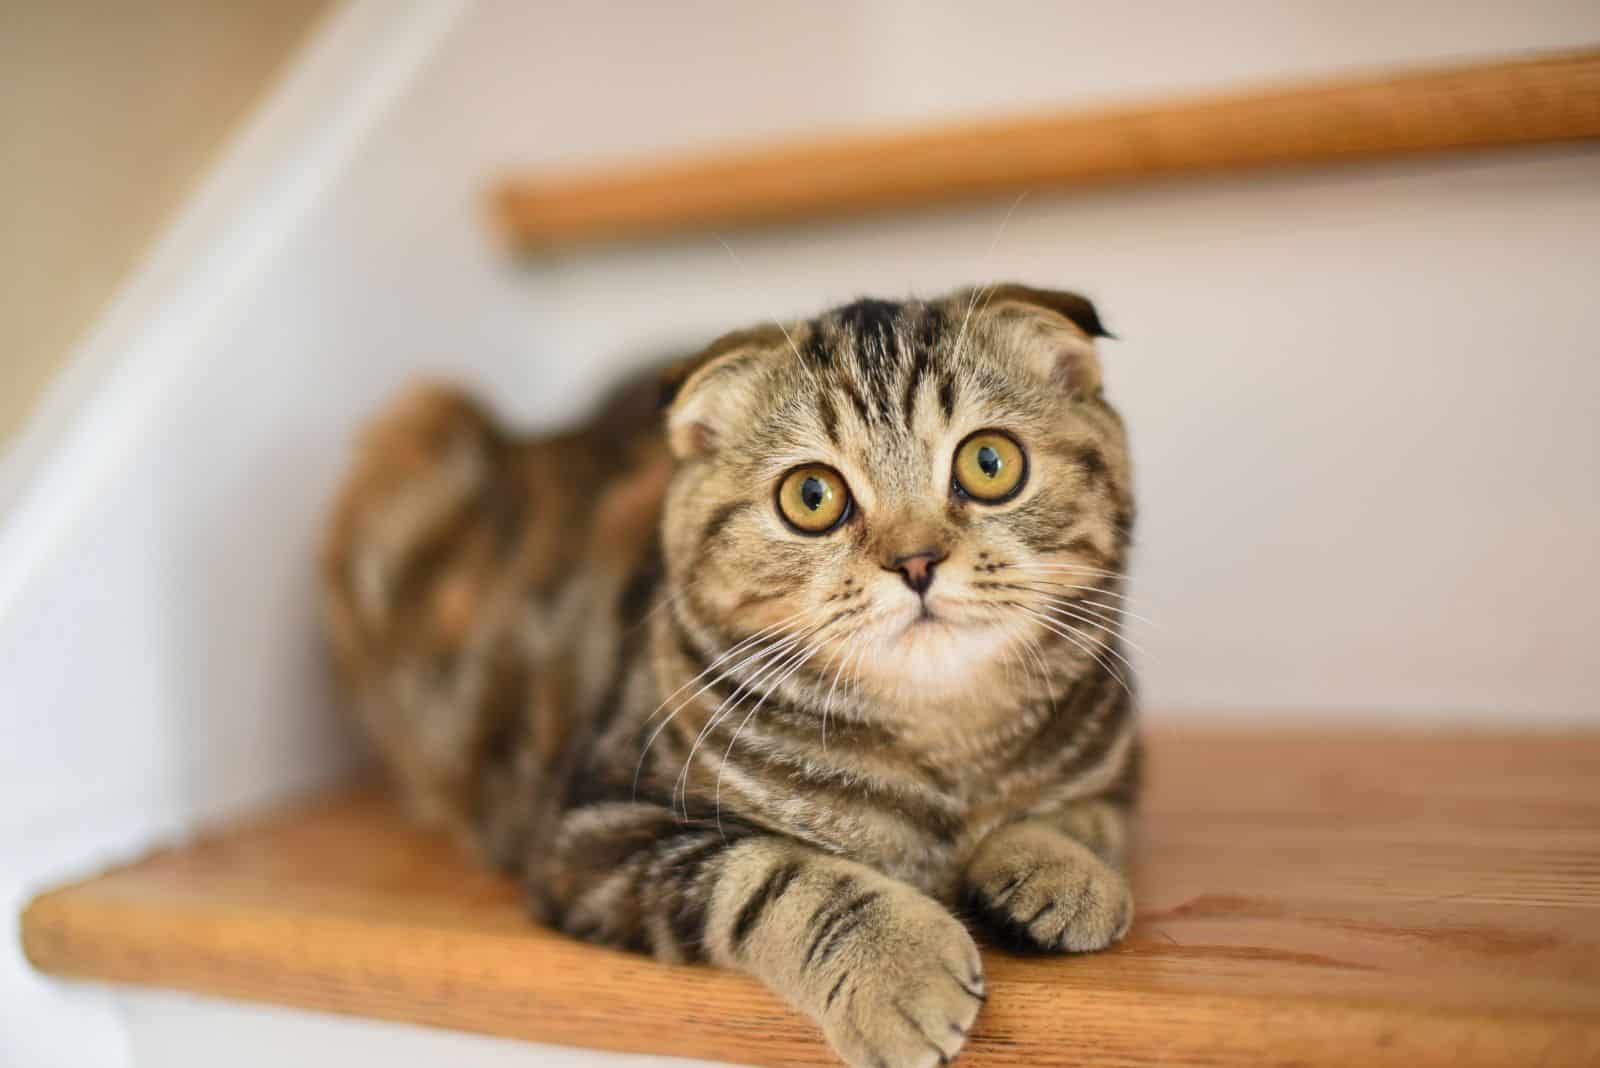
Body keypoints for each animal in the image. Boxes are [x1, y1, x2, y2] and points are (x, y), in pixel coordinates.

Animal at [321, 282, 1139, 1068]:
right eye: (813, 497)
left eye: (989, 463)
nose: (916, 561)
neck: (944, 749)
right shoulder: (592, 835)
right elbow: (774, 875)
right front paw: (897, 969)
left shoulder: (1120, 752)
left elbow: (1094, 809)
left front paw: (1060, 867)